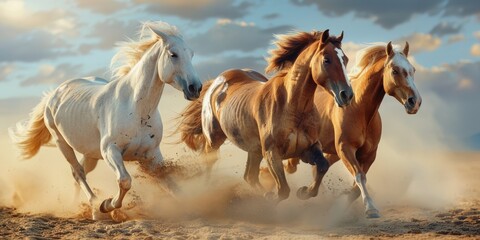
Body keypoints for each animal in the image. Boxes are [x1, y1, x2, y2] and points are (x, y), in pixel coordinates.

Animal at [9, 21, 201, 218]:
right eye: (173, 54)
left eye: (191, 53)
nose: (195, 88)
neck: (136, 108)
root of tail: (55, 93)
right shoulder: (111, 150)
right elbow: (125, 181)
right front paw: (106, 205)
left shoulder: (152, 155)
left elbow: (173, 188)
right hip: (63, 144)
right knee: (78, 173)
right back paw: (95, 208)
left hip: (91, 153)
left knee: (79, 174)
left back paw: (82, 208)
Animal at [178, 30, 354, 202]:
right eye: (326, 60)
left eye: (345, 59)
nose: (347, 95)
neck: (293, 107)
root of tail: (217, 82)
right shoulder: (272, 153)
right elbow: (283, 190)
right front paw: (270, 197)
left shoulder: (309, 148)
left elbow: (323, 166)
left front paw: (304, 191)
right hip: (213, 141)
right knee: (210, 166)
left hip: (254, 150)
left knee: (249, 176)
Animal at [270, 41, 420, 218]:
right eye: (395, 70)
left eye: (413, 70)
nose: (415, 102)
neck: (360, 110)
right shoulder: (345, 148)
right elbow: (359, 176)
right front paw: (371, 209)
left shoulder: (369, 155)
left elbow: (355, 185)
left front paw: (337, 205)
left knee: (314, 168)